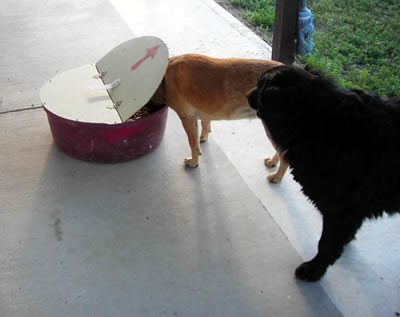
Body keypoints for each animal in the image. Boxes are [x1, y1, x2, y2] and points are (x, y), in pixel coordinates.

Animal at [151, 53, 288, 178]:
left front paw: (194, 162)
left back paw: (276, 177)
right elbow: (205, 124)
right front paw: (203, 136)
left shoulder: (187, 119)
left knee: (284, 157)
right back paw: (273, 163)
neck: (164, 78)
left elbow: (193, 145)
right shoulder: (203, 113)